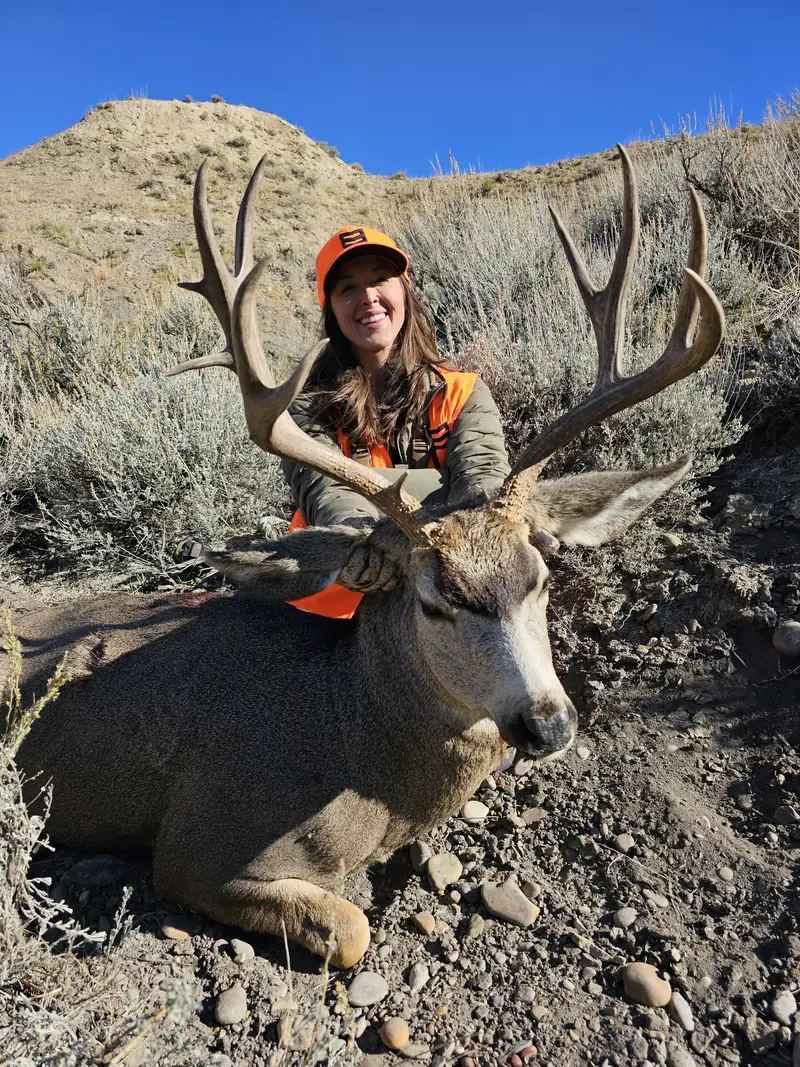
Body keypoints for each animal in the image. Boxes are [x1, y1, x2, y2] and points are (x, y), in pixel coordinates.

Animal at [5, 146, 724, 968]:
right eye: (436, 600)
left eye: (542, 578)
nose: (547, 725)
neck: (356, 738)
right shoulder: (200, 842)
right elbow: (352, 928)